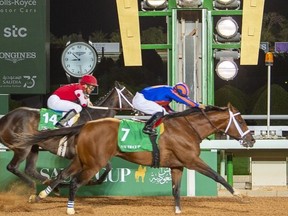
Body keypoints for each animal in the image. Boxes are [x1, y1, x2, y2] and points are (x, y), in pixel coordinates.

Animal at [0, 81, 134, 194]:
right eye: (128, 93)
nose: (136, 108)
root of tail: (5, 119)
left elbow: (108, 168)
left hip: (34, 146)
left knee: (30, 169)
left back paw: (54, 186)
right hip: (23, 147)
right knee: (12, 167)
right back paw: (34, 185)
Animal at [19, 103, 254, 214]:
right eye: (242, 120)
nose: (251, 139)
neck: (187, 128)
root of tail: (85, 125)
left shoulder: (177, 165)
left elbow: (176, 189)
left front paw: (178, 210)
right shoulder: (191, 160)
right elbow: (217, 176)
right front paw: (239, 196)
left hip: (82, 159)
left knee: (62, 175)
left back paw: (40, 196)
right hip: (94, 163)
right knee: (75, 182)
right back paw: (70, 208)